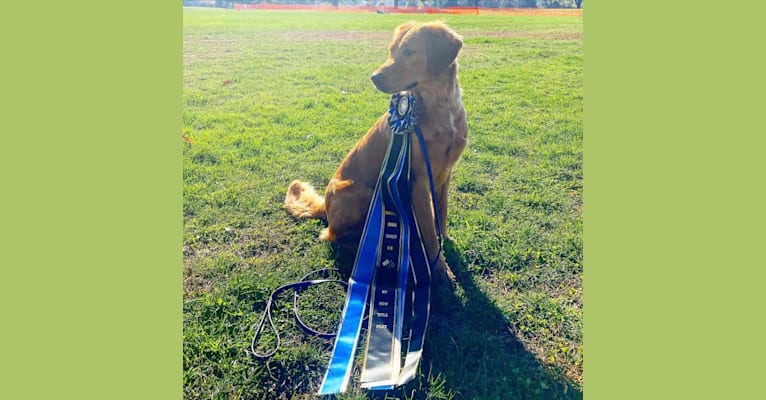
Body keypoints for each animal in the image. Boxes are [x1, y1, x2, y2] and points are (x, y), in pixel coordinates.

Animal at [284, 21, 468, 278]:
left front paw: (447, 242)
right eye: (392, 51)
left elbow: (440, 213)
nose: (374, 78)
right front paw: (441, 268)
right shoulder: (419, 180)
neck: (441, 108)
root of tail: (326, 207)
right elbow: (429, 232)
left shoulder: (445, 174)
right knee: (331, 235)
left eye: (409, 52)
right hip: (362, 192)